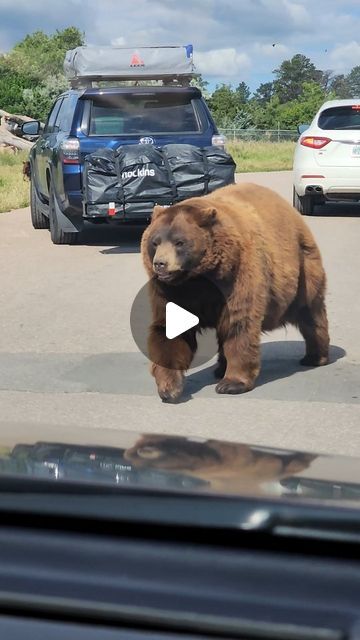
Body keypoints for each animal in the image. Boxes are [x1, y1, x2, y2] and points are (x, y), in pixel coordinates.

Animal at [141, 182, 330, 400]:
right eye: (155, 242)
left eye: (179, 242)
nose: (160, 264)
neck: (199, 279)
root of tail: (293, 213)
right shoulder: (170, 292)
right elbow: (170, 330)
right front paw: (169, 388)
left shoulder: (238, 275)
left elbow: (240, 324)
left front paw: (232, 384)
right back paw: (220, 369)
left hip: (302, 268)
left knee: (310, 311)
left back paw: (316, 356)